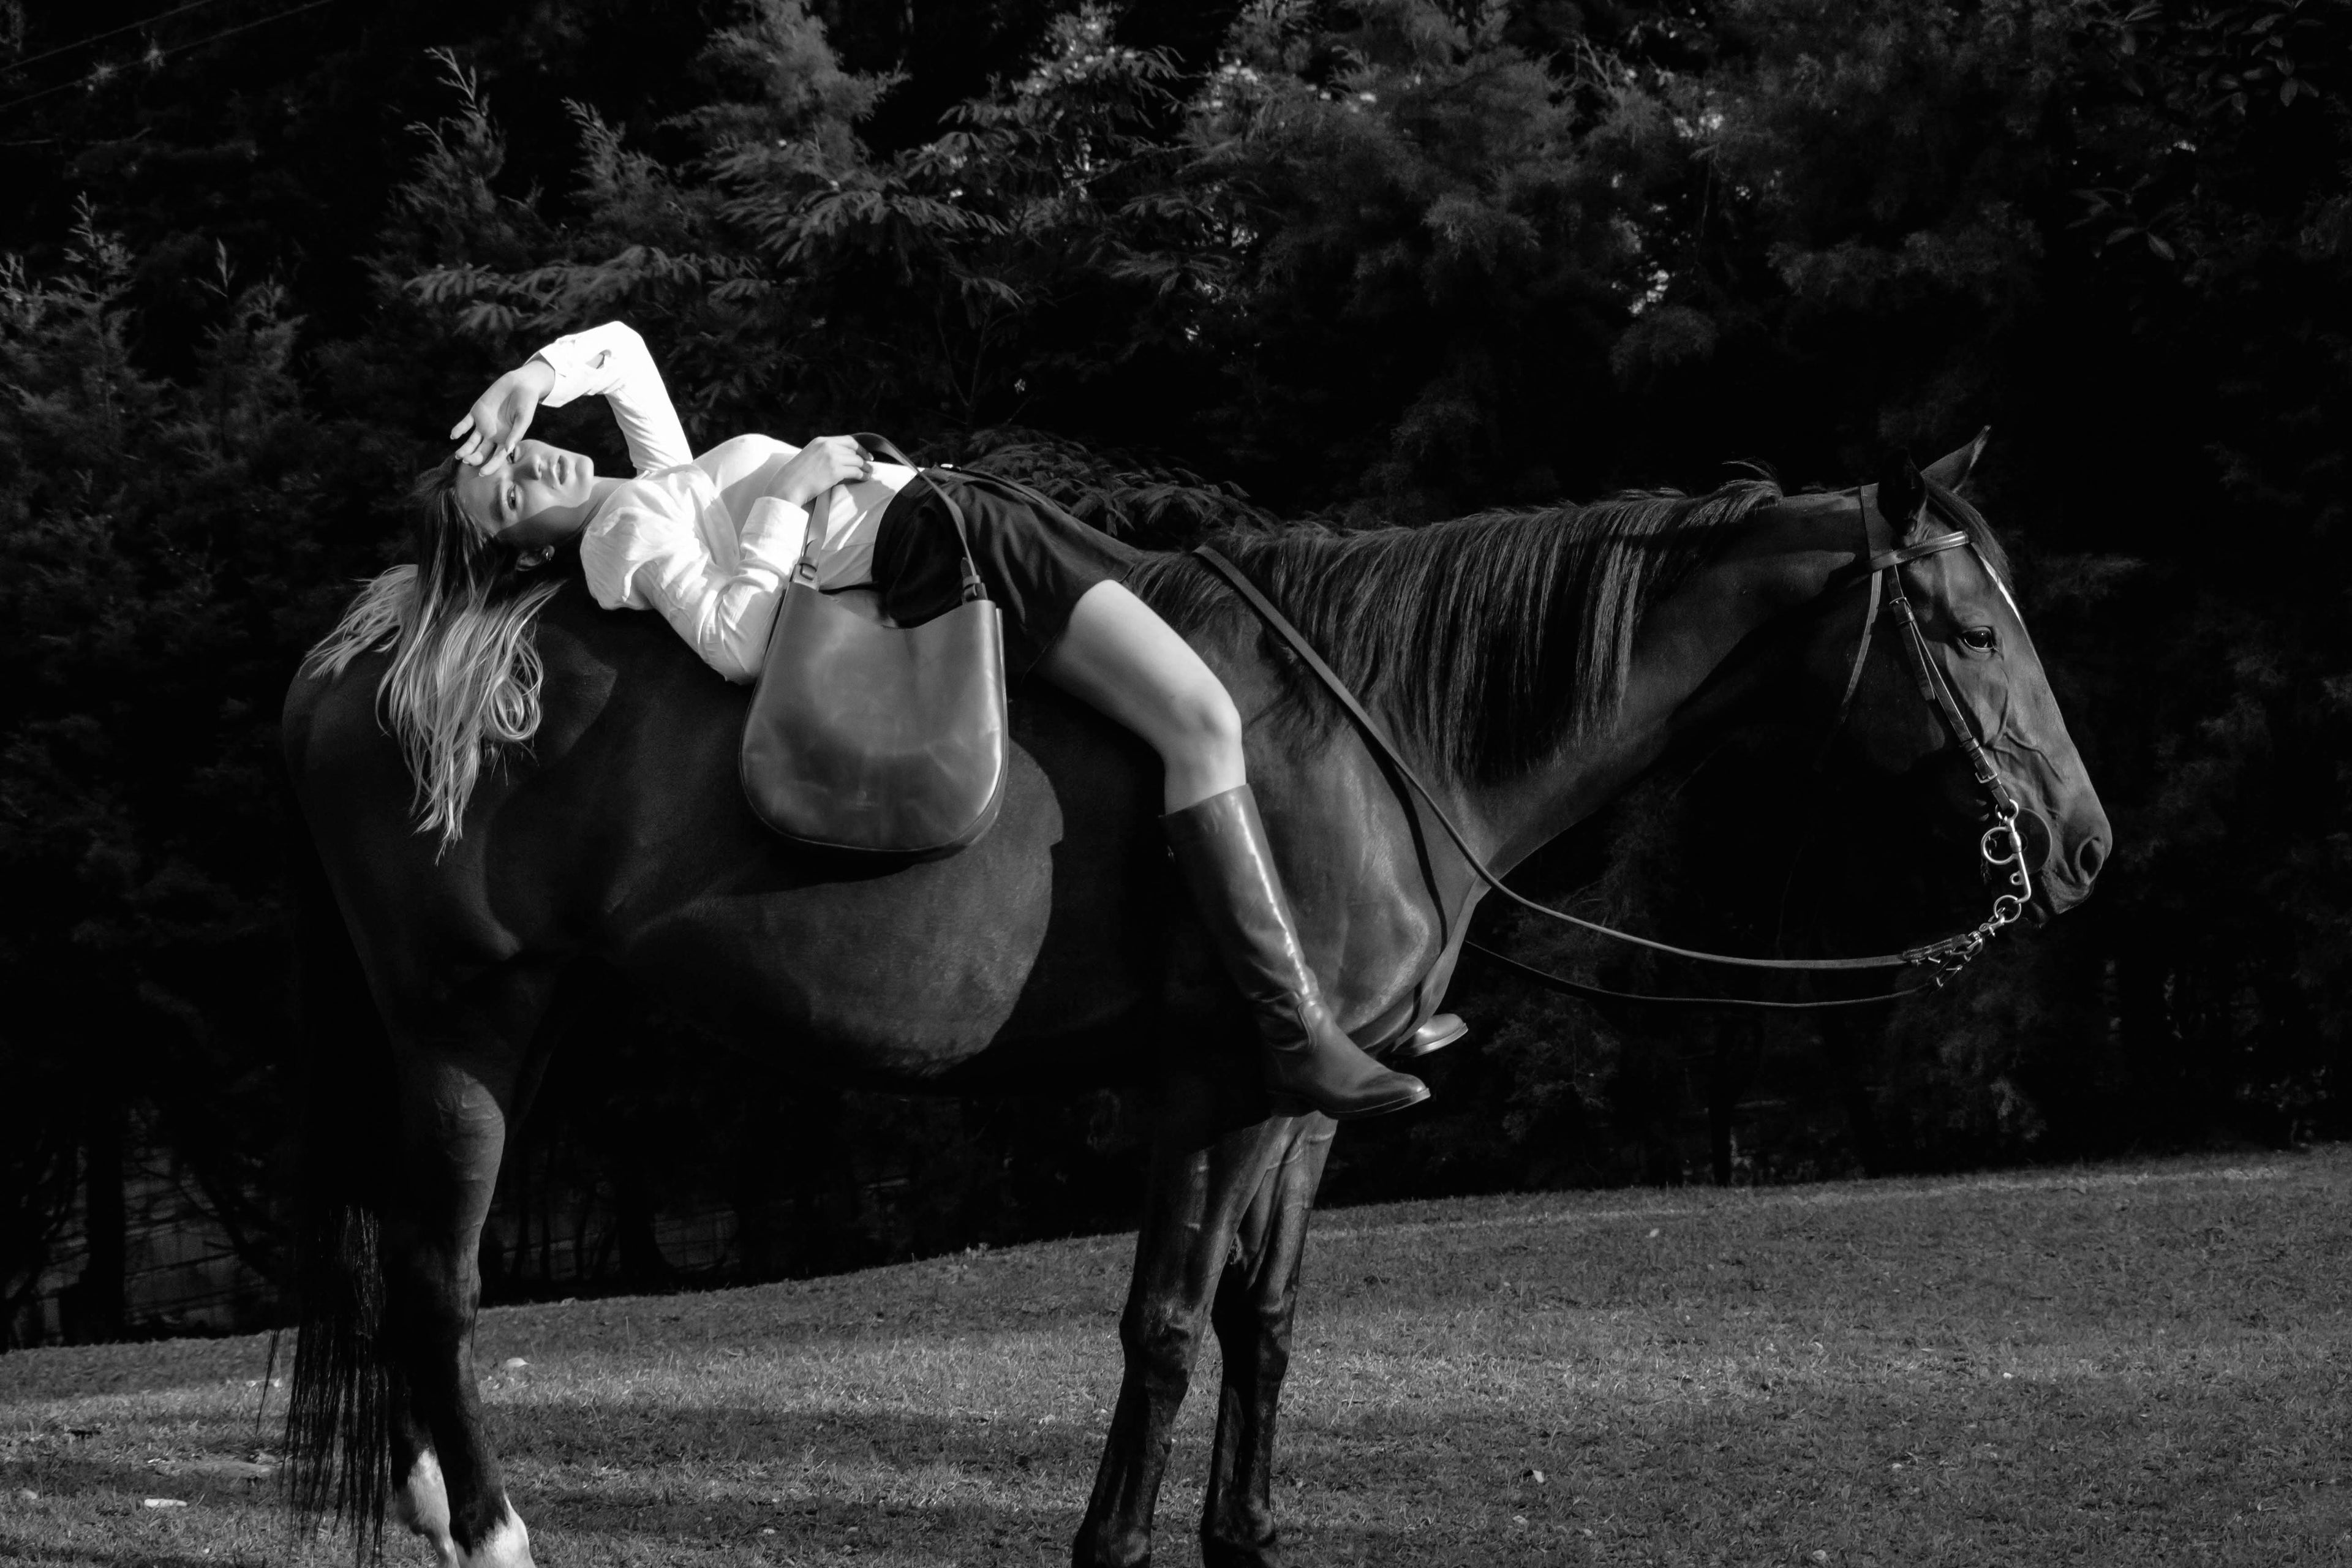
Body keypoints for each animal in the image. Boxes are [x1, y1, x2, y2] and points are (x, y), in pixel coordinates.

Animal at [281, 434, 2109, 1567]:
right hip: (467, 1029)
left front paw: (1247, 1532)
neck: (1383, 738)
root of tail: (375, 648)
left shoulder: (1305, 1102)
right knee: (439, 1290)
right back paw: (492, 1530)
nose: (2083, 841)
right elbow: (1162, 1328)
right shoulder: (1215, 1090)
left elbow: (1263, 1323)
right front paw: (1116, 1539)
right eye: (1965, 627)